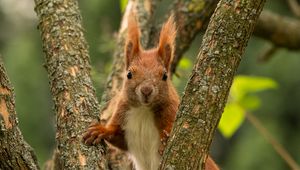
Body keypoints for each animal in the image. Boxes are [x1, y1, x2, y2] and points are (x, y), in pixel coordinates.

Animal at [82, 12, 218, 170]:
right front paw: (100, 131)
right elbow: (115, 136)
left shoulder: (172, 112)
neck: (143, 110)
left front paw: (165, 140)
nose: (146, 90)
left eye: (165, 76)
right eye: (129, 74)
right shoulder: (123, 118)